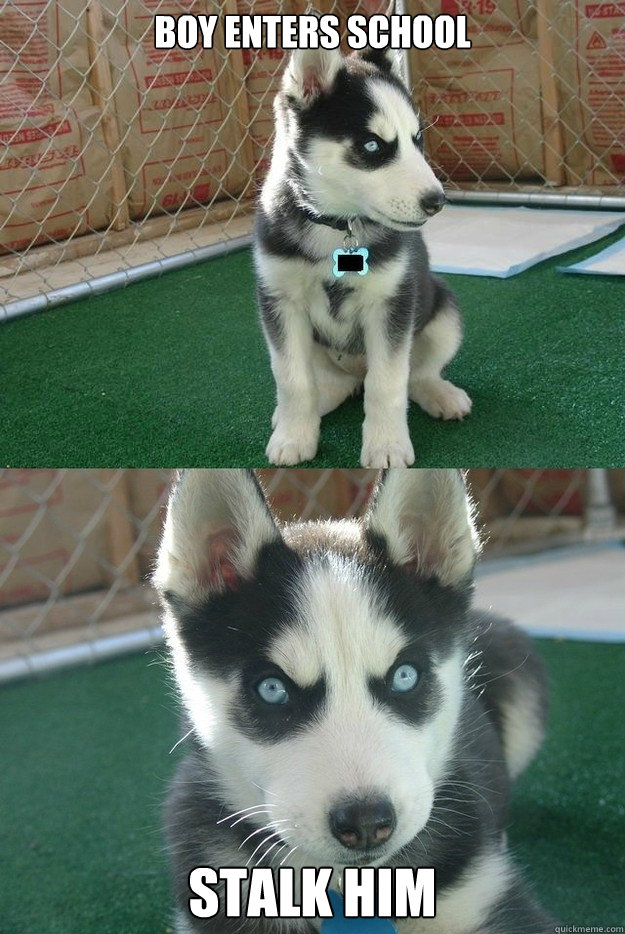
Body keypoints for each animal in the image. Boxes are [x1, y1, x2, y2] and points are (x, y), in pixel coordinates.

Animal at [251, 44, 470, 468]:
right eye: (372, 146)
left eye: (417, 139)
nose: (438, 201)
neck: (337, 225)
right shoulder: (280, 301)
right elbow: (291, 378)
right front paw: (293, 436)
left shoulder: (391, 303)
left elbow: (387, 383)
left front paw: (386, 446)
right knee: (334, 383)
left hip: (444, 312)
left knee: (414, 375)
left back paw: (441, 394)